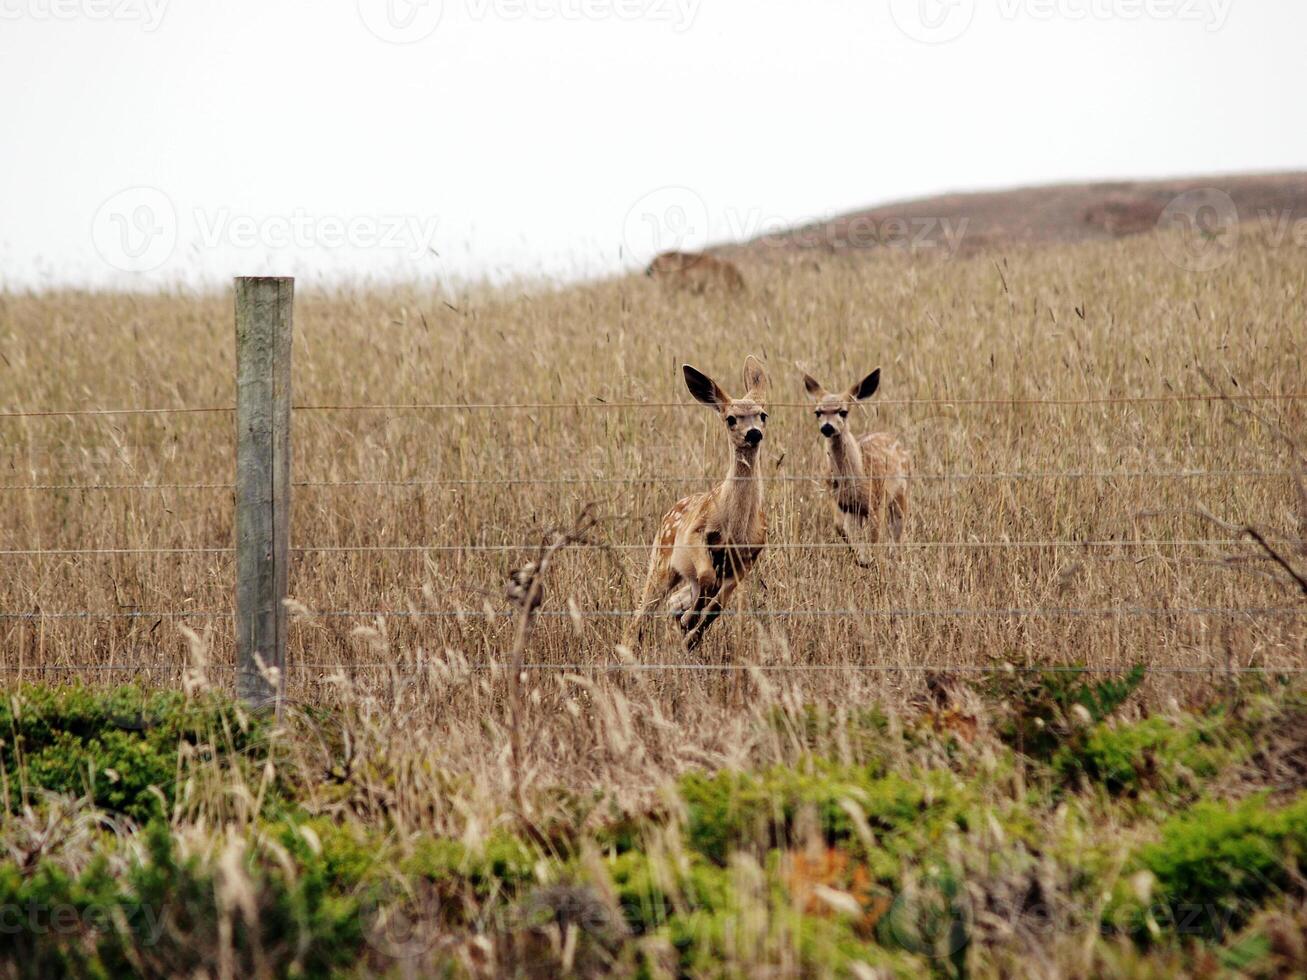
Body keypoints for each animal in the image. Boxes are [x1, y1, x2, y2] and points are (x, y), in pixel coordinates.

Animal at [622, 358, 763, 648]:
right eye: (731, 419)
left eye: (763, 415)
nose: (754, 433)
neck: (737, 527)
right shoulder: (696, 533)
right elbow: (707, 579)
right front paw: (690, 622)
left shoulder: (748, 556)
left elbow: (717, 604)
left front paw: (692, 631)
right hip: (661, 560)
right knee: (642, 611)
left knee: (676, 600)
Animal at [794, 368, 909, 567]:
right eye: (818, 412)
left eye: (843, 412)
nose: (827, 427)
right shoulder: (838, 500)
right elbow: (840, 527)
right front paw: (860, 557)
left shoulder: (875, 500)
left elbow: (875, 538)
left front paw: (871, 561)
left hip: (900, 494)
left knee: (897, 532)